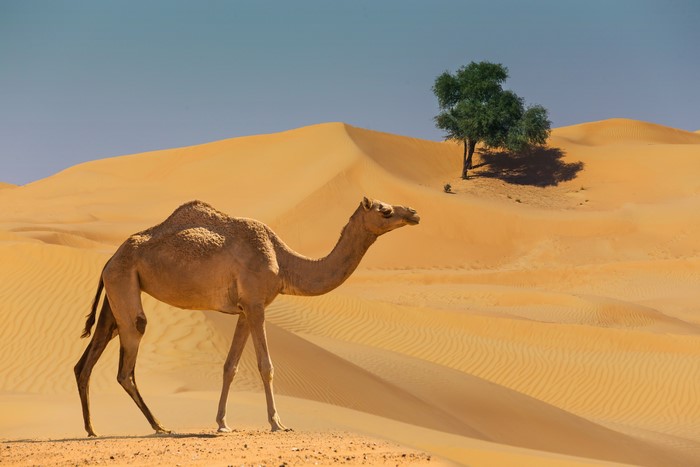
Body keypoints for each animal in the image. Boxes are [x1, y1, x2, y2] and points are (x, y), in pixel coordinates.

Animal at [74, 196, 419, 436]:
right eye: (385, 210)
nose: (414, 213)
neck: (284, 262)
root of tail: (109, 258)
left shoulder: (244, 309)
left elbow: (230, 367)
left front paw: (222, 422)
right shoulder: (255, 304)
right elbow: (266, 366)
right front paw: (278, 423)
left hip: (116, 291)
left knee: (87, 359)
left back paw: (93, 429)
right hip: (124, 283)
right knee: (127, 363)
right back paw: (159, 426)